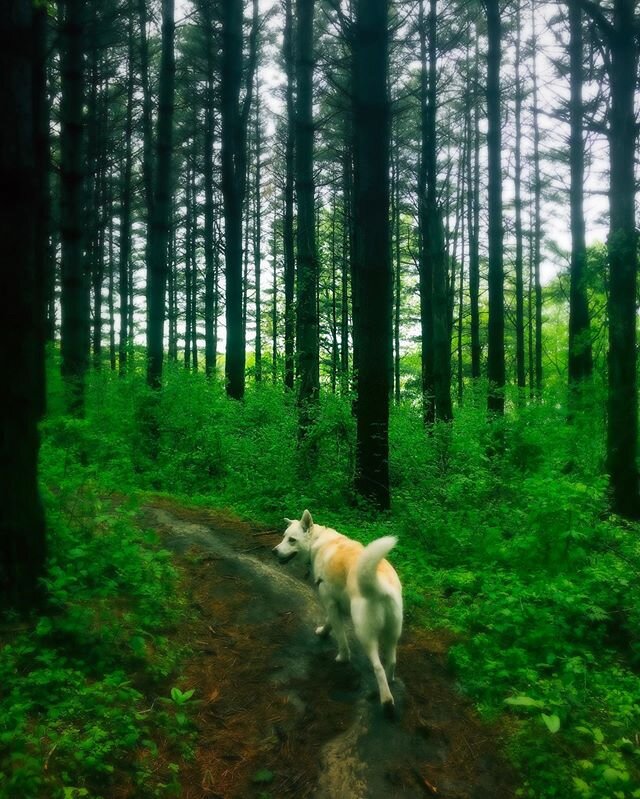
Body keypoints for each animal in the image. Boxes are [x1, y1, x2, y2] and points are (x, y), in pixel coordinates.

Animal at [272, 510, 402, 716]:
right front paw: (323, 631)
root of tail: (381, 586)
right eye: (284, 536)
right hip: (392, 635)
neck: (318, 542)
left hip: (365, 634)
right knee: (391, 662)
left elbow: (340, 637)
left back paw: (387, 702)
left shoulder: (329, 601)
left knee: (378, 667)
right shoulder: (337, 603)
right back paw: (387, 685)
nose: (274, 551)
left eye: (292, 540)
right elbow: (330, 622)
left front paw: (342, 657)